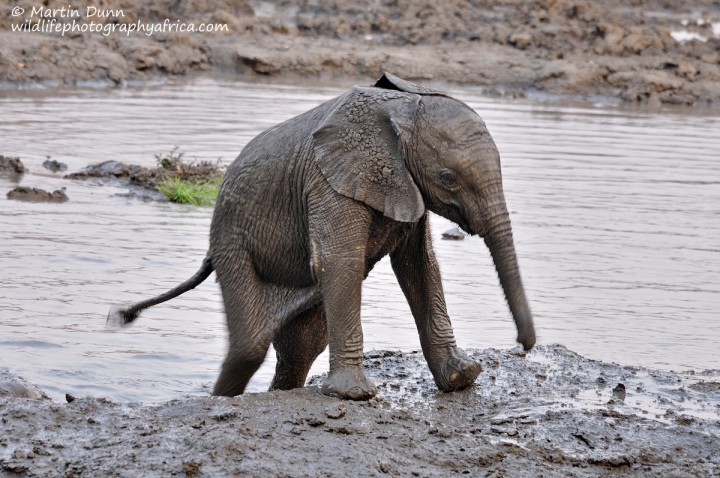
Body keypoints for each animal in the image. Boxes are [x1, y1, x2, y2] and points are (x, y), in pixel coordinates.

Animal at [109, 73, 536, 402]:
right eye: (448, 178)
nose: (523, 346)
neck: (400, 107)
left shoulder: (405, 185)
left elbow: (420, 266)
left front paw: (462, 378)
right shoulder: (328, 181)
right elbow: (340, 260)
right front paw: (355, 395)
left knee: (301, 346)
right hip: (231, 238)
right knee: (249, 347)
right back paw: (218, 400)